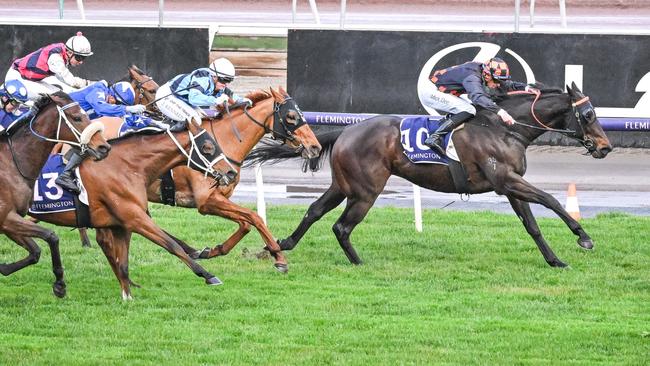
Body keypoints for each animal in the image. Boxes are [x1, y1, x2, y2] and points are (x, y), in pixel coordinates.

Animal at [0, 91, 109, 298]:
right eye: (77, 117)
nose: (104, 147)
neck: (12, 163)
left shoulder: (10, 221)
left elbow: (35, 252)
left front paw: (4, 268)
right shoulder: (6, 218)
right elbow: (51, 236)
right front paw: (60, 284)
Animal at [29, 118, 238, 298]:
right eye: (207, 147)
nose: (231, 172)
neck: (126, 166)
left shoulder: (121, 223)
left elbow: (124, 261)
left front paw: (127, 290)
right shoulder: (135, 218)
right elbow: (172, 245)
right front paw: (208, 275)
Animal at [246, 83, 612, 268]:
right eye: (589, 114)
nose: (605, 147)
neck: (504, 129)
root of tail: (346, 131)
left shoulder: (509, 186)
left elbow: (532, 225)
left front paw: (555, 260)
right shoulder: (506, 180)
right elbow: (551, 199)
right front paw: (583, 236)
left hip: (344, 185)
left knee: (314, 211)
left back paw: (280, 246)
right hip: (366, 190)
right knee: (341, 226)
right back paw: (358, 262)